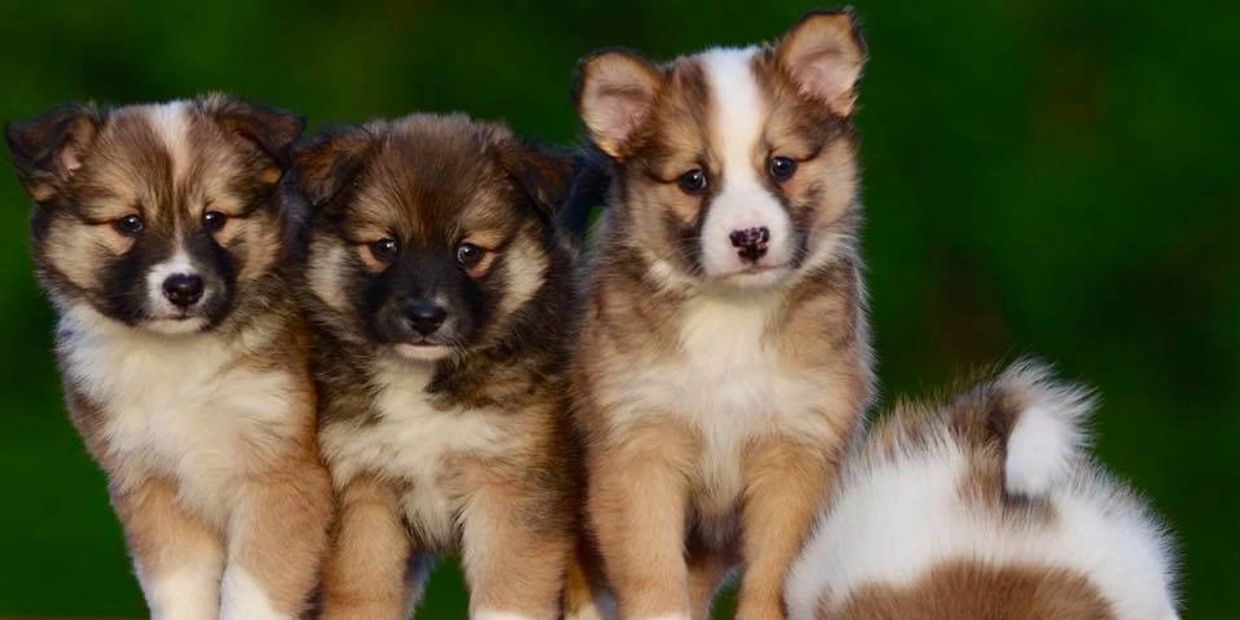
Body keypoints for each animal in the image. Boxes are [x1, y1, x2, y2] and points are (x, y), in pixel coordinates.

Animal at [6, 93, 334, 620]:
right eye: (129, 223)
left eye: (214, 218)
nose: (184, 287)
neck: (179, 360)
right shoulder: (150, 487)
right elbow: (180, 592)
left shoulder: (282, 479)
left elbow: (251, 593)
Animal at [295, 112, 580, 620]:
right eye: (384, 247)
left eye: (469, 252)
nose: (426, 316)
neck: (421, 379)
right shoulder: (364, 493)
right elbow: (361, 593)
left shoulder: (511, 491)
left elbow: (506, 598)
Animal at [565, 7, 872, 617]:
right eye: (694, 179)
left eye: (781, 166)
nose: (750, 238)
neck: (731, 316)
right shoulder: (637, 453)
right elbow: (653, 576)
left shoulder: (796, 456)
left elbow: (773, 578)